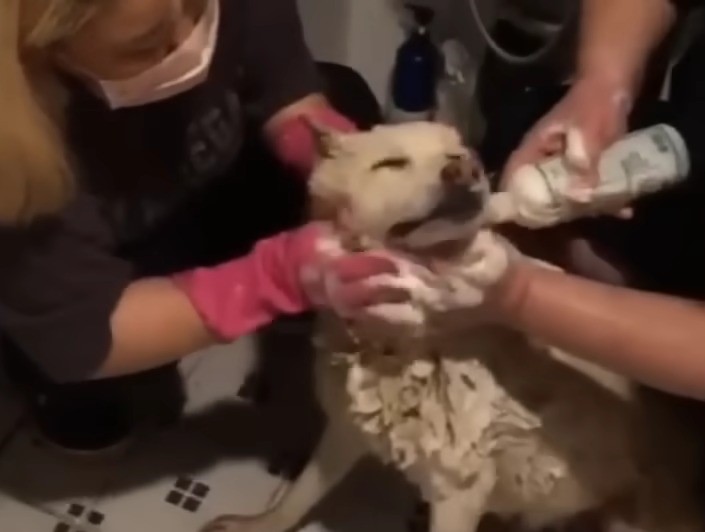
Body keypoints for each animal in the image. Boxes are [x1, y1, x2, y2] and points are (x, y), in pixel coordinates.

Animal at [201, 121, 700, 532]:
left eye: (459, 153)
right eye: (391, 164)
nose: (466, 169)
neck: (406, 346)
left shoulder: (459, 492)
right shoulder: (346, 431)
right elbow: (298, 498)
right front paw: (258, 525)